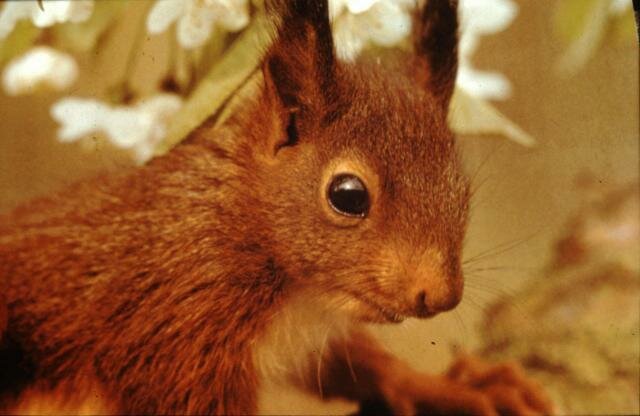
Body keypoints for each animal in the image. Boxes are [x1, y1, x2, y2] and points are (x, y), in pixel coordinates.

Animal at [0, 0, 553, 414]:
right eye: (347, 195)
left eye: (461, 187)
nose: (439, 296)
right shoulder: (178, 330)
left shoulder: (309, 336)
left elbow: (356, 364)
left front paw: (450, 386)